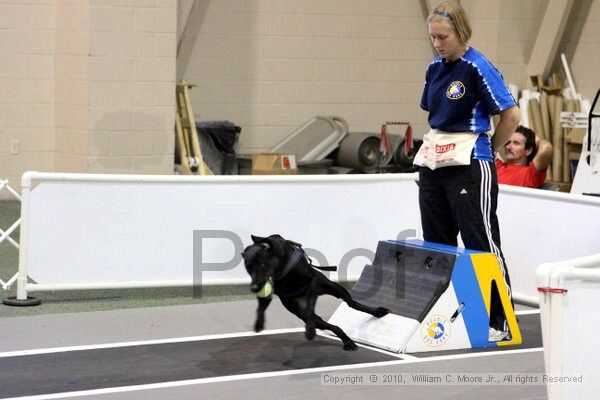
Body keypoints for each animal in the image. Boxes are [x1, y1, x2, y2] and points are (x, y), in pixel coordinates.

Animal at [241, 234, 392, 350]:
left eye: (261, 265)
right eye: (248, 268)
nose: (254, 288)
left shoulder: (313, 280)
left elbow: (310, 303)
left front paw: (309, 330)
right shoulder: (266, 291)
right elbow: (261, 307)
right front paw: (259, 324)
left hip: (335, 288)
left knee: (351, 303)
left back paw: (377, 312)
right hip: (304, 312)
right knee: (330, 325)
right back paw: (347, 341)